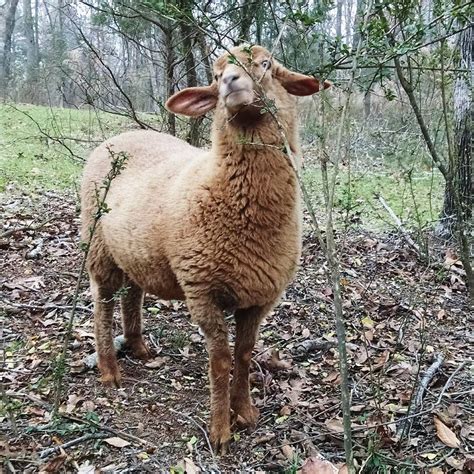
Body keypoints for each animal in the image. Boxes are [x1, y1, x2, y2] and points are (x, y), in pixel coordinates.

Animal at [80, 44, 330, 452]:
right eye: (215, 74)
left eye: (266, 64)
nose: (230, 82)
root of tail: (120, 136)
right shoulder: (202, 292)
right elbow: (221, 360)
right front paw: (220, 430)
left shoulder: (261, 297)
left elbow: (244, 354)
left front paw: (245, 412)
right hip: (97, 242)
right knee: (102, 302)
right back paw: (109, 370)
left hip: (135, 250)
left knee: (132, 294)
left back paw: (138, 346)